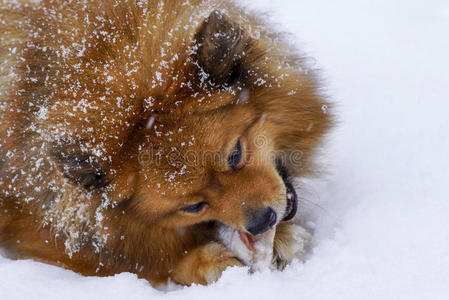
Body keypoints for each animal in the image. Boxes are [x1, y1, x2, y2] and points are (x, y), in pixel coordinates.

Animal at [0, 0, 328, 286]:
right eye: (193, 206)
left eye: (235, 154)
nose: (262, 221)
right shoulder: (32, 224)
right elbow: (137, 259)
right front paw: (204, 260)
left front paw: (280, 236)